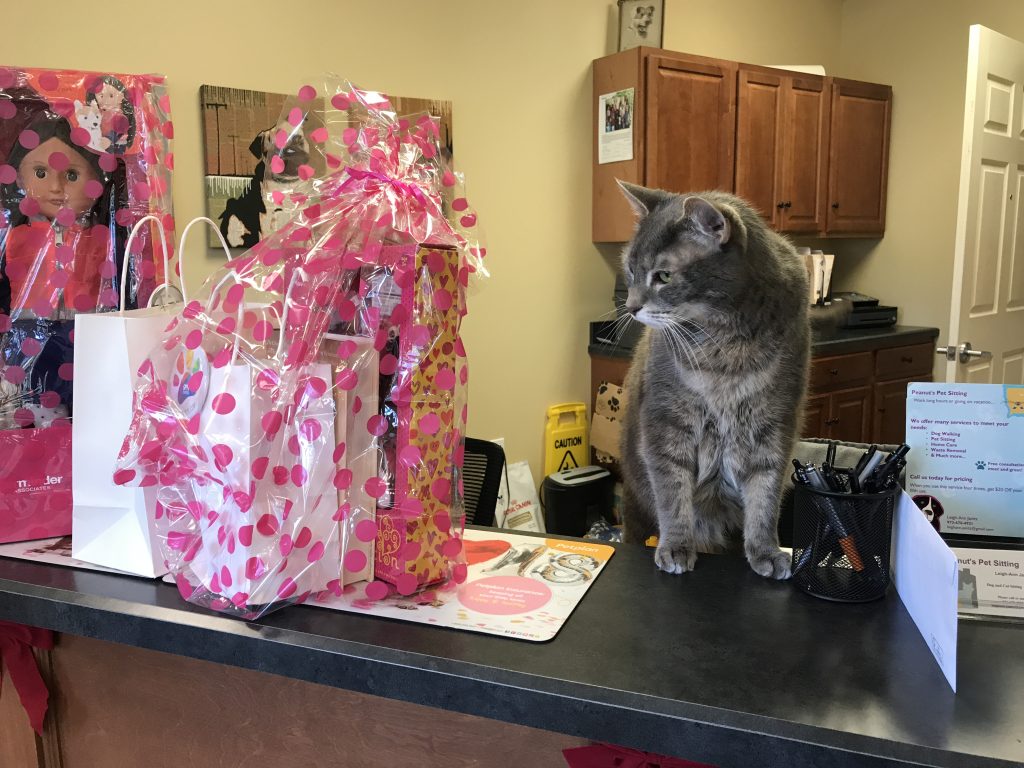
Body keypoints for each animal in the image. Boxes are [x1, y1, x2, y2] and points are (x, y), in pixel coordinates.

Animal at [618, 182, 811, 577]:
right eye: (630, 269)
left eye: (663, 276)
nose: (630, 307)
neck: (726, 343)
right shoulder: (665, 423)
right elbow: (672, 490)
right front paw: (676, 546)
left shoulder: (774, 425)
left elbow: (765, 494)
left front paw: (766, 551)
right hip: (634, 499)